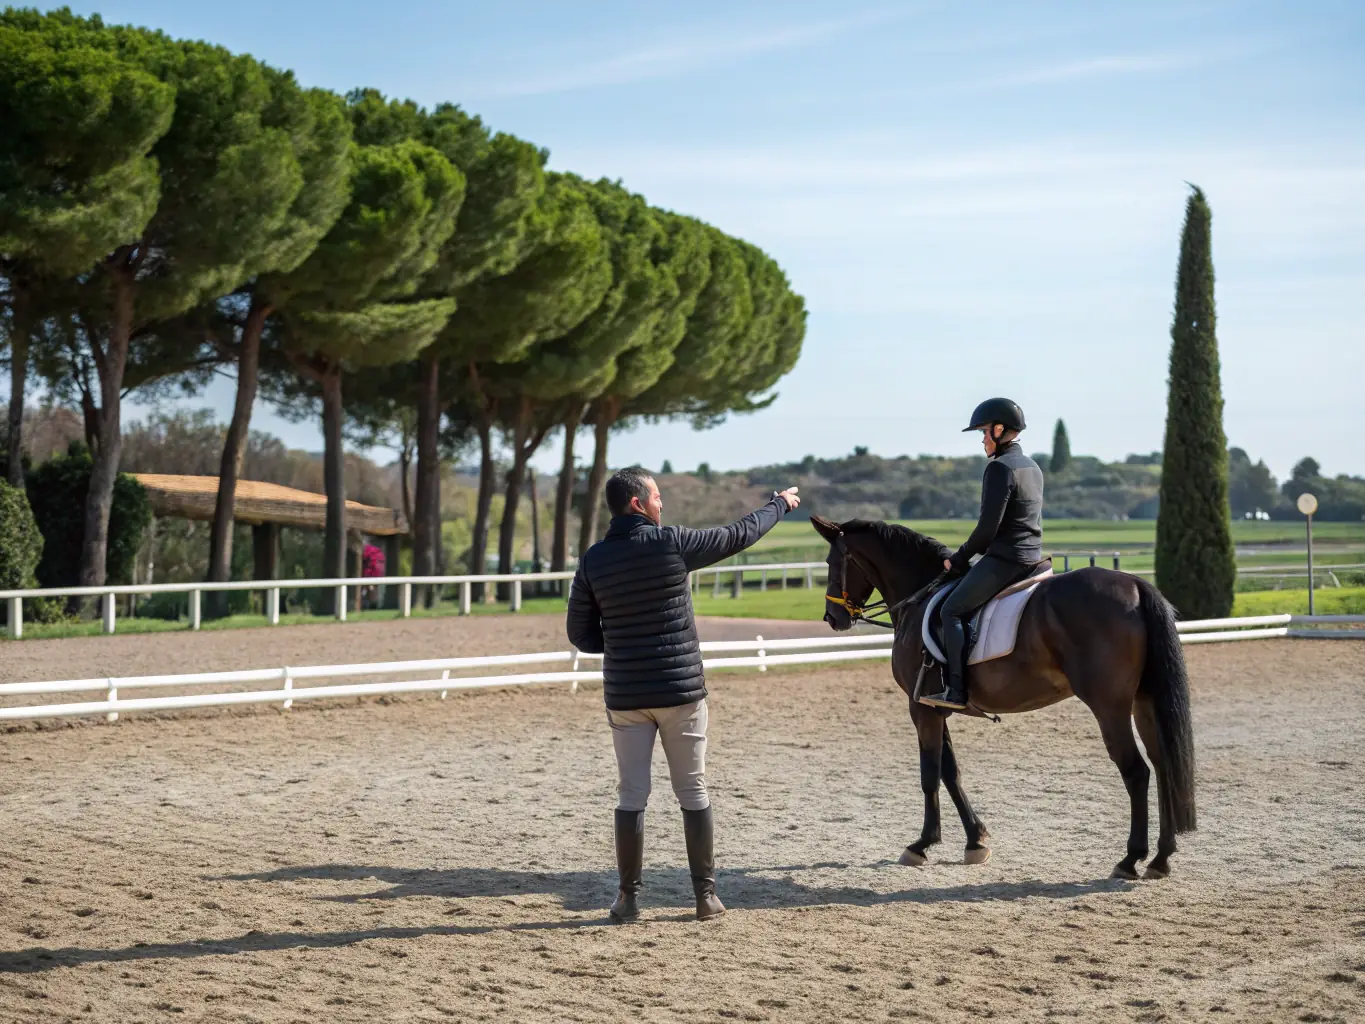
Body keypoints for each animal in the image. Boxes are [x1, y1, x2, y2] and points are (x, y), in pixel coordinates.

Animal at [810, 516, 1196, 880]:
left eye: (831, 560)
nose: (832, 617)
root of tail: (1136, 585)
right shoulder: (937, 707)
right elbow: (951, 772)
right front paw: (975, 841)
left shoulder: (920, 708)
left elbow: (929, 774)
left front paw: (921, 845)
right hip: (1144, 703)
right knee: (1164, 765)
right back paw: (1160, 859)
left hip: (1110, 708)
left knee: (1136, 771)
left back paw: (1130, 860)